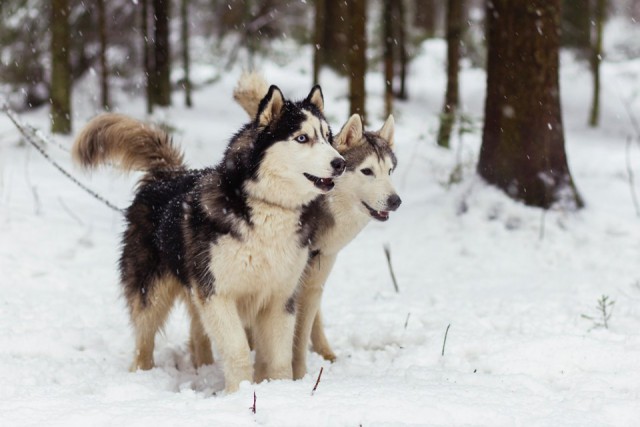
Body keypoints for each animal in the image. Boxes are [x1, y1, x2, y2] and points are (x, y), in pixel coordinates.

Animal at [72, 85, 348, 392]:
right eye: (302, 138)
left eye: (327, 137)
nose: (341, 162)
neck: (268, 210)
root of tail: (167, 174)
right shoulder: (217, 293)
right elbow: (238, 350)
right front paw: (240, 391)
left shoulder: (281, 297)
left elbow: (279, 357)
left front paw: (280, 389)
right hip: (152, 293)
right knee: (144, 340)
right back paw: (142, 376)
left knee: (196, 333)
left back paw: (202, 368)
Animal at [232, 72, 402, 380]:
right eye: (367, 171)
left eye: (390, 171)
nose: (396, 201)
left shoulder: (310, 285)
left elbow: (299, 339)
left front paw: (299, 374)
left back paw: (326, 352)